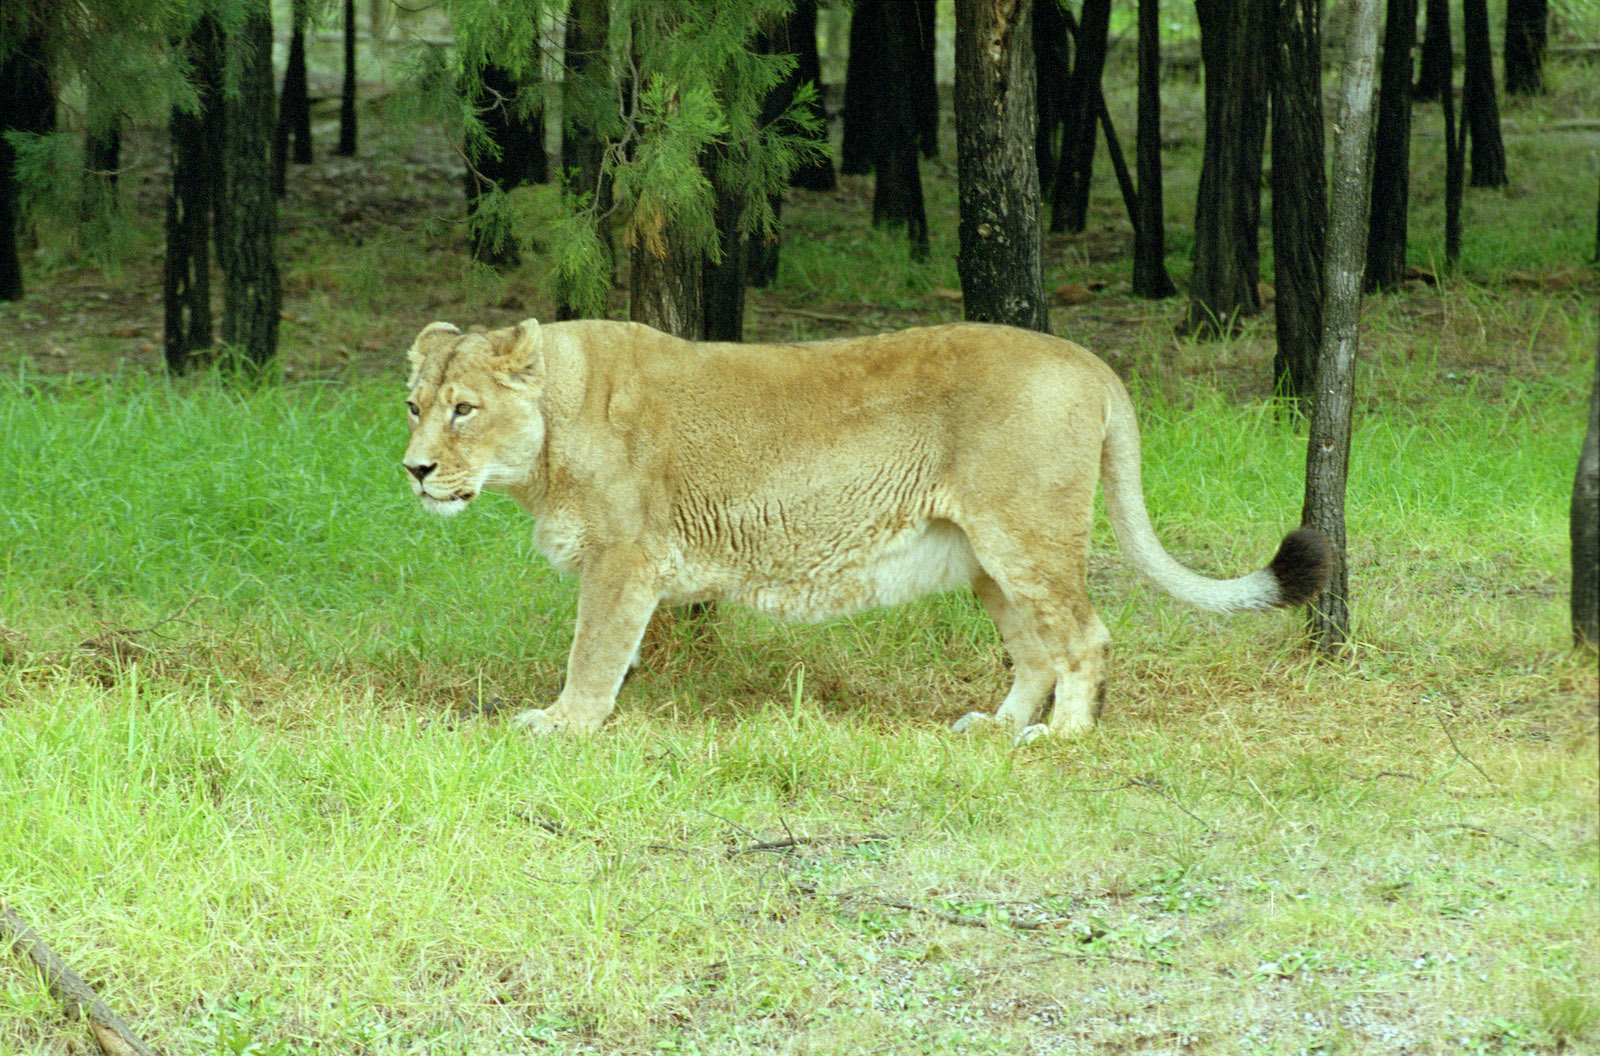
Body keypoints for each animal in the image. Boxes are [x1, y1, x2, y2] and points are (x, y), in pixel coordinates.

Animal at [402, 318, 1330, 742]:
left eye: (464, 410)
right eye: (414, 407)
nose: (413, 470)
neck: (551, 435)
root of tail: (1091, 361)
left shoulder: (624, 557)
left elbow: (592, 651)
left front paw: (563, 724)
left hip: (1026, 533)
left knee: (1085, 638)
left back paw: (1059, 737)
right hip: (989, 555)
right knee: (1036, 650)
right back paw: (996, 727)